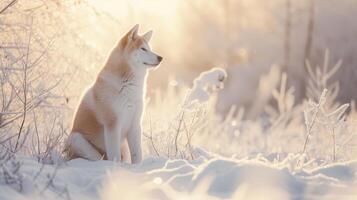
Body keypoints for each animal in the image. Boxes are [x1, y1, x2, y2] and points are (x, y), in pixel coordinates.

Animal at [65, 24, 163, 162]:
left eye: (149, 49)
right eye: (143, 49)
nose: (160, 57)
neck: (128, 86)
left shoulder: (135, 124)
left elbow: (137, 154)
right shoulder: (113, 124)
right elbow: (115, 155)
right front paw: (116, 166)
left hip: (123, 147)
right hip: (76, 139)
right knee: (98, 158)